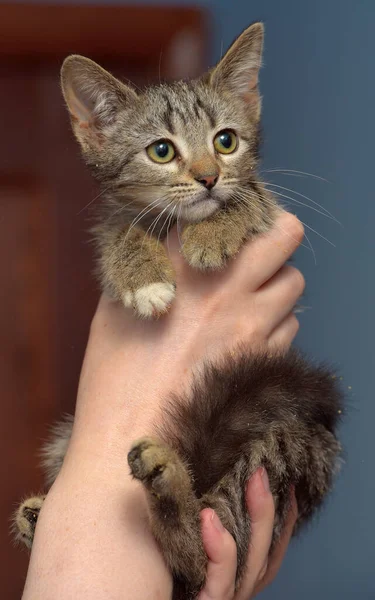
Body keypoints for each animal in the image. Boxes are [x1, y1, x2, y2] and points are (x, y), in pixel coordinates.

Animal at [13, 23, 344, 600]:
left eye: (226, 141)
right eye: (161, 151)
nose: (209, 178)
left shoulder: (271, 211)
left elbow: (252, 197)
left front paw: (212, 232)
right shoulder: (112, 218)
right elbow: (120, 229)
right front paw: (143, 276)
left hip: (279, 441)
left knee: (201, 556)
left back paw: (167, 483)